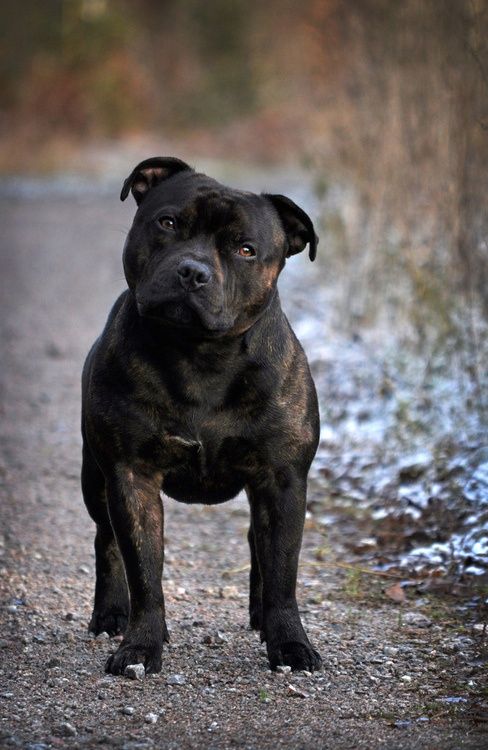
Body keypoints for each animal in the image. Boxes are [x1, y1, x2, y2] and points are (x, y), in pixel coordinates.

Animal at [82, 157, 322, 676]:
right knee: (106, 541)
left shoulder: (282, 480)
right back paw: (110, 614)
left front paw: (290, 644)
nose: (193, 272)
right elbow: (144, 573)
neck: (201, 357)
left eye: (246, 250)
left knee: (257, 544)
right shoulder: (131, 476)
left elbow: (283, 572)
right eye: (169, 223)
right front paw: (141, 646)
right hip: (96, 479)